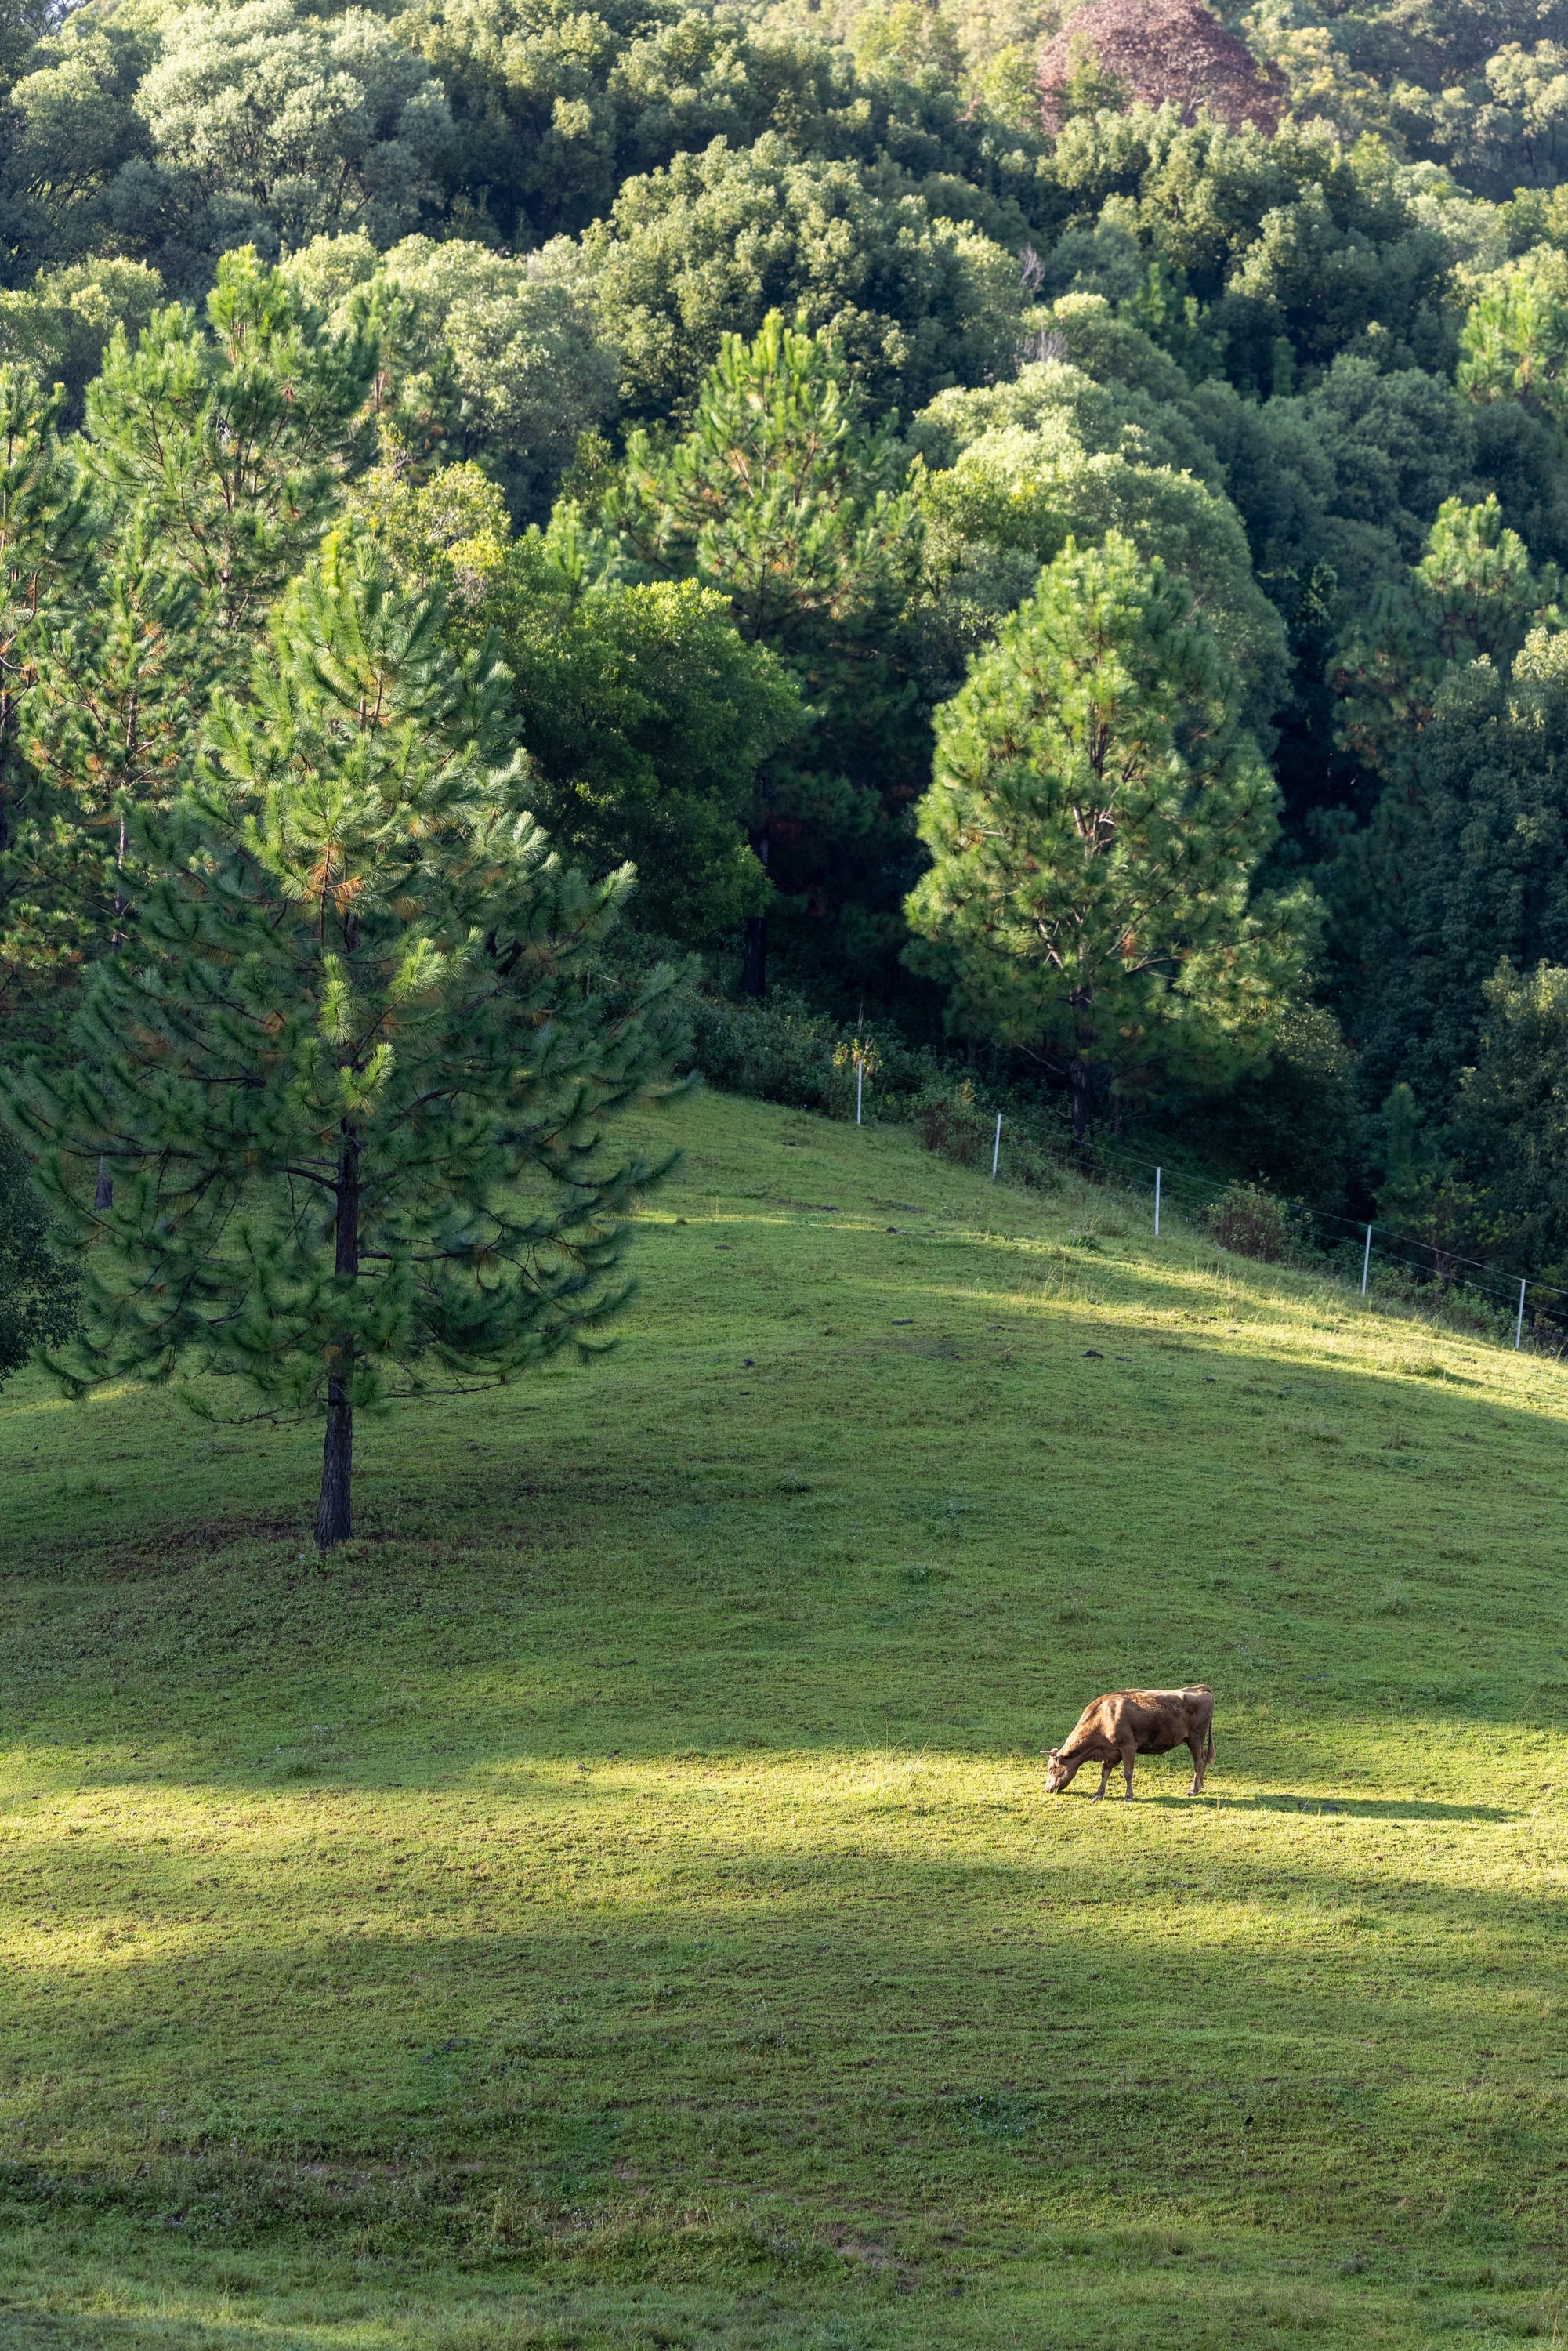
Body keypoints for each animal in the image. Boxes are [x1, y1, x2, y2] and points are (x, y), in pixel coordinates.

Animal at [1044, 1685, 1215, 1802]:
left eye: (1052, 1768)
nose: (1047, 1788)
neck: (1103, 1717)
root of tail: (1200, 1688)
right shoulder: (1111, 1754)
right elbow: (1104, 1772)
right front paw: (1099, 1794)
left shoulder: (1128, 1747)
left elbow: (1127, 1773)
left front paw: (1129, 1796)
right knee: (1205, 1757)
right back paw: (1201, 1785)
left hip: (1196, 1739)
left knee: (1199, 1761)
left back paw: (1193, 1790)